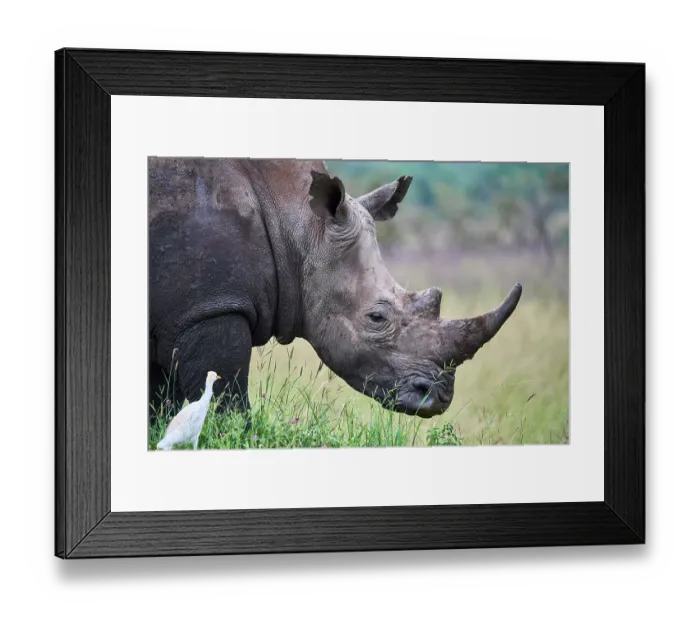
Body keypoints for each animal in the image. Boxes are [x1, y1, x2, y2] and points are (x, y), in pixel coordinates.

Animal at [149, 158, 521, 418]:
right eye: (376, 318)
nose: (438, 398)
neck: (297, 222)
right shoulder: (210, 308)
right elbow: (225, 406)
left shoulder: (182, 313)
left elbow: (160, 409)